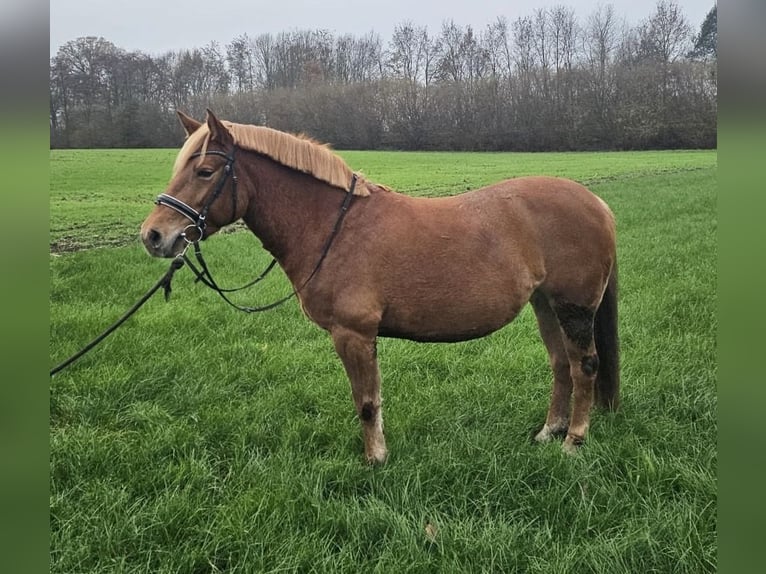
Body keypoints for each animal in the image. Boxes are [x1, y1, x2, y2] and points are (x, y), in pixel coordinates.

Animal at [141, 109, 620, 463]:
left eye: (205, 171)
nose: (154, 235)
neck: (333, 226)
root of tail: (596, 203)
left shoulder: (353, 334)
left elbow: (366, 402)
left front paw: (375, 459)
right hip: (546, 304)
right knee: (561, 364)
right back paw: (549, 431)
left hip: (574, 307)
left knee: (584, 366)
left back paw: (573, 442)